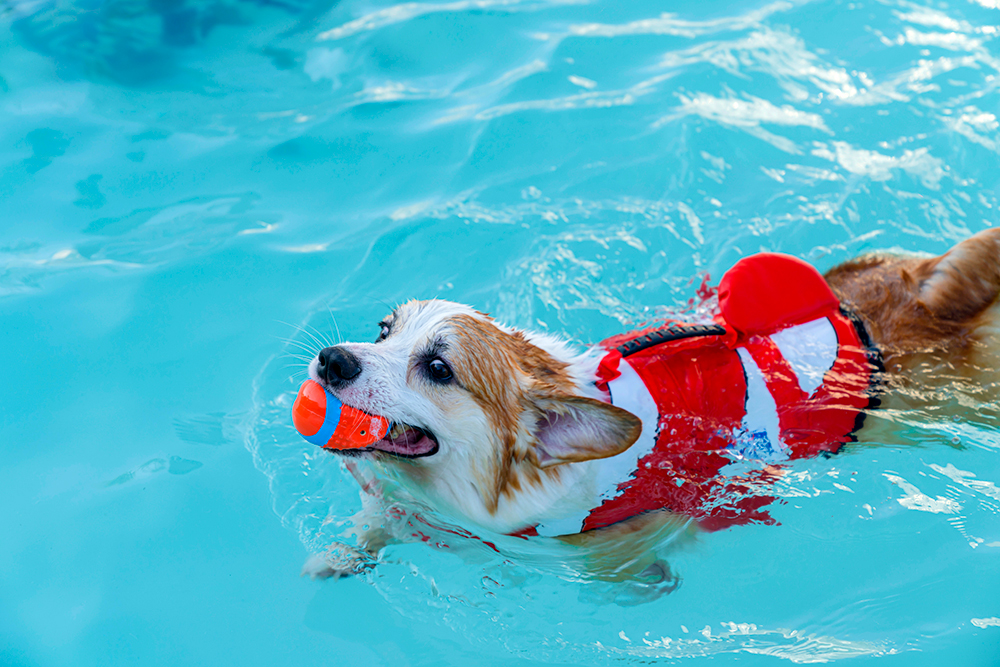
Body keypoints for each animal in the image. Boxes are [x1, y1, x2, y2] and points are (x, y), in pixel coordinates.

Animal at [302, 228, 1000, 580]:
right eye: (383, 331)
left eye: (438, 369)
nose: (332, 360)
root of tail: (927, 289)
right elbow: (378, 524)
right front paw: (341, 557)